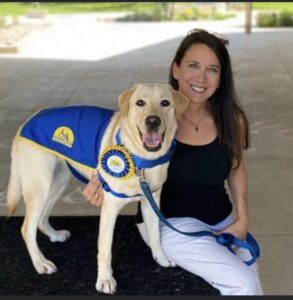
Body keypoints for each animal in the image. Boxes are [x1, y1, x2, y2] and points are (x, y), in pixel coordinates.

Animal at [6, 83, 187, 294]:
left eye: (165, 103)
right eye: (140, 103)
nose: (152, 121)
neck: (141, 160)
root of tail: (30, 119)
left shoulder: (151, 202)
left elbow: (156, 235)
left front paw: (161, 259)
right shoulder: (110, 208)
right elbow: (105, 249)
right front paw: (105, 279)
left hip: (57, 183)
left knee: (41, 220)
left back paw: (55, 235)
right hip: (40, 186)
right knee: (27, 228)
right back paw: (40, 263)